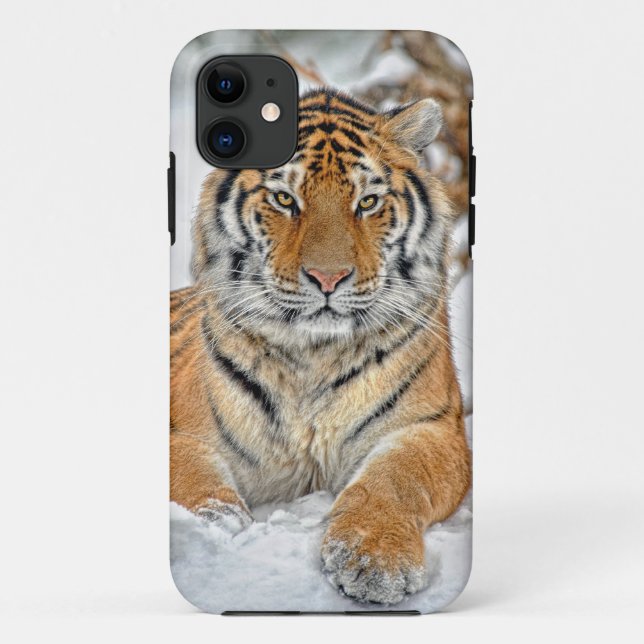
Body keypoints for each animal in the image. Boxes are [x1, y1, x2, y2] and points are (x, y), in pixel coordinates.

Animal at [170, 88, 471, 605]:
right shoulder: (181, 429)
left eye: (367, 201)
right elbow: (191, 474)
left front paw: (376, 560)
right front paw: (217, 524)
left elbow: (396, 479)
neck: (313, 356)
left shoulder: (430, 428)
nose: (328, 278)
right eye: (284, 199)